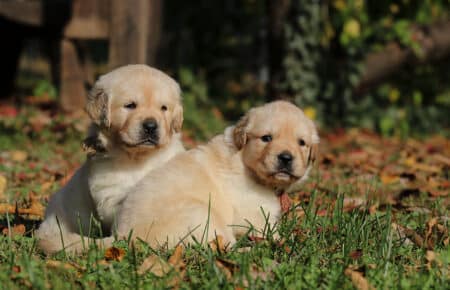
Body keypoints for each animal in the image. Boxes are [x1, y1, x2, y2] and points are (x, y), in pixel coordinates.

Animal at [116, 101, 320, 248]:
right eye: (266, 138)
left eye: (302, 143)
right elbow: (269, 231)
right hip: (203, 216)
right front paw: (287, 241)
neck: (246, 165)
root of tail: (122, 234)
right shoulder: (252, 215)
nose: (286, 157)